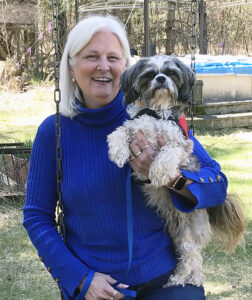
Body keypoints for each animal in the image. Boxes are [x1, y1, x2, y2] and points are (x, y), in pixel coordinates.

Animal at [107, 55, 245, 288]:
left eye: (171, 73)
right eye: (150, 74)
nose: (161, 79)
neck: (158, 112)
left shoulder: (181, 145)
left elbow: (168, 154)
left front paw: (157, 172)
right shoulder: (137, 128)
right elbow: (120, 131)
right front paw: (117, 151)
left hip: (189, 232)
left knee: (192, 257)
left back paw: (181, 278)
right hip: (177, 232)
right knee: (194, 259)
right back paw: (189, 278)